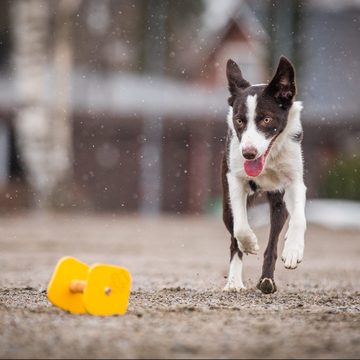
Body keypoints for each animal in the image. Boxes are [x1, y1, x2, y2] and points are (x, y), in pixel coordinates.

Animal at [222, 55, 306, 292]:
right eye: (239, 120)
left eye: (266, 119)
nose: (248, 153)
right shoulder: (234, 180)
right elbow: (241, 228)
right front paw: (249, 243)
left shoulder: (295, 182)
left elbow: (299, 218)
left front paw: (293, 249)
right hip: (226, 207)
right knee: (234, 240)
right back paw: (234, 282)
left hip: (279, 204)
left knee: (273, 241)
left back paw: (266, 280)